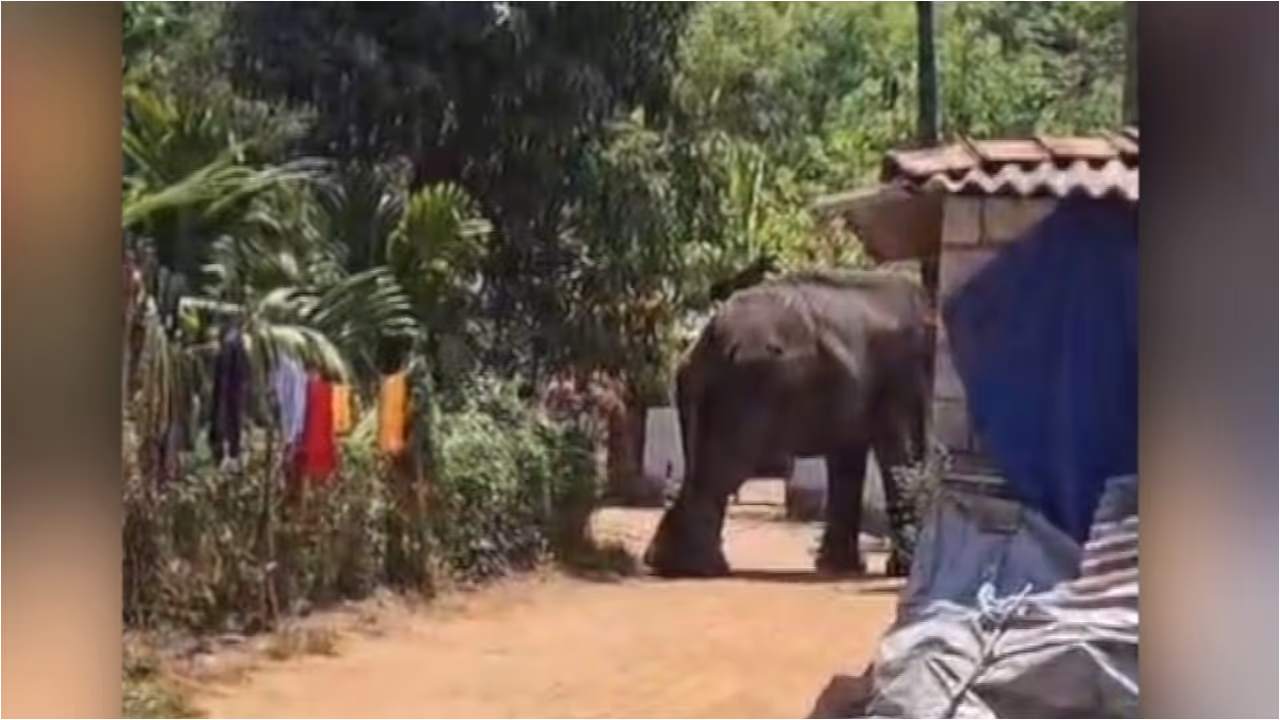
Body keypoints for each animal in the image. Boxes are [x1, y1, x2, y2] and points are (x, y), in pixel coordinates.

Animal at [644, 270, 931, 578]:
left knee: (700, 464)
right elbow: (899, 452)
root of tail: (711, 333)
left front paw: (840, 567)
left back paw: (668, 563)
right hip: (746, 383)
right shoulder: (901, 376)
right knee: (726, 465)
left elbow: (849, 457)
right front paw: (900, 570)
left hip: (703, 387)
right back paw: (700, 568)